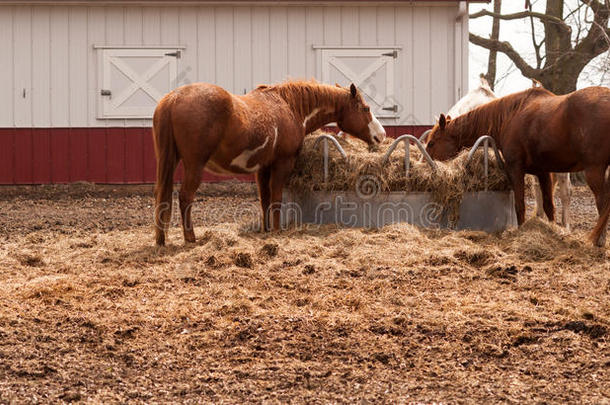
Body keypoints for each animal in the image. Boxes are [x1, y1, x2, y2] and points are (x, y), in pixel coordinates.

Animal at [151, 78, 384, 243]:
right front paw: (277, 230)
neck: (290, 107)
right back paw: (190, 237)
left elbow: (264, 200)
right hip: (194, 166)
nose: (380, 135)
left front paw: (266, 229)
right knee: (185, 197)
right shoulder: (282, 164)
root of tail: (174, 98)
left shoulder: (262, 169)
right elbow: (276, 199)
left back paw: (161, 239)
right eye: (365, 109)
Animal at [422, 86, 608, 246]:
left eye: (431, 143)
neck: (511, 115)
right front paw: (552, 231)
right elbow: (548, 206)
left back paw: (597, 240)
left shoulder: (516, 169)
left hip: (594, 171)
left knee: (603, 204)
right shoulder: (542, 172)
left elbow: (520, 205)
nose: (425, 165)